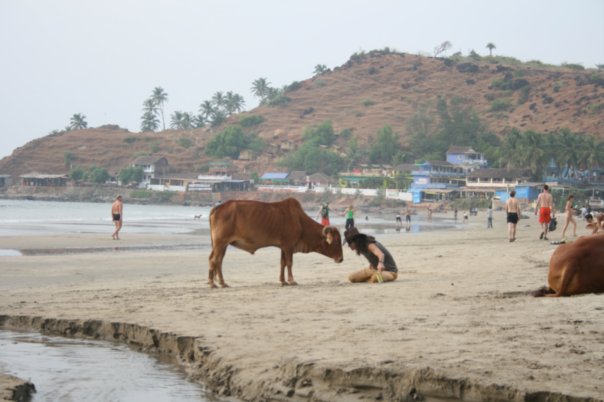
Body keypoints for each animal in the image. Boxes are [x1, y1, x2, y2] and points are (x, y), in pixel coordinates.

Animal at [208, 197, 342, 286]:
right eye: (336, 242)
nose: (341, 259)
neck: (300, 221)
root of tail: (217, 208)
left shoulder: (283, 247)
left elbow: (282, 263)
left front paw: (283, 281)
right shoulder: (289, 246)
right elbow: (289, 263)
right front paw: (291, 280)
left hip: (222, 245)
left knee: (218, 261)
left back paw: (222, 283)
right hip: (220, 243)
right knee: (214, 260)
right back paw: (212, 283)